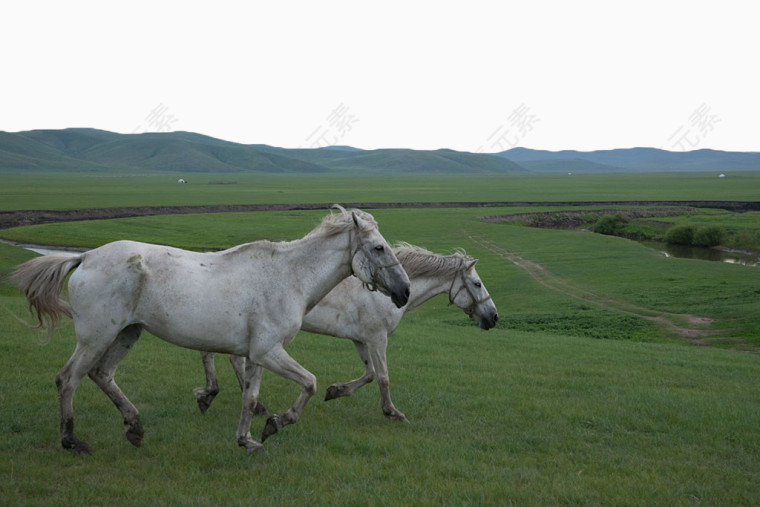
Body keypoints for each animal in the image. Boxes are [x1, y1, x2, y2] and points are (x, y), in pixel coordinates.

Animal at [10, 208, 410, 454]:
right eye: (378, 247)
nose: (404, 292)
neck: (288, 277)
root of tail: (86, 257)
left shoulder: (257, 354)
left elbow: (250, 396)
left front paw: (248, 439)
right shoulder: (269, 351)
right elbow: (309, 383)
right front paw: (276, 423)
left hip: (127, 333)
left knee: (102, 375)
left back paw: (135, 427)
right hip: (96, 337)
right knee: (68, 379)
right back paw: (72, 441)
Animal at [193, 244, 496, 422]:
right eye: (477, 284)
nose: (493, 317)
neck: (385, 293)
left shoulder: (361, 340)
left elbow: (369, 374)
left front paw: (335, 391)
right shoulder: (377, 339)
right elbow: (383, 377)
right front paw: (392, 412)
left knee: (217, 355)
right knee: (226, 357)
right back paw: (225, 398)